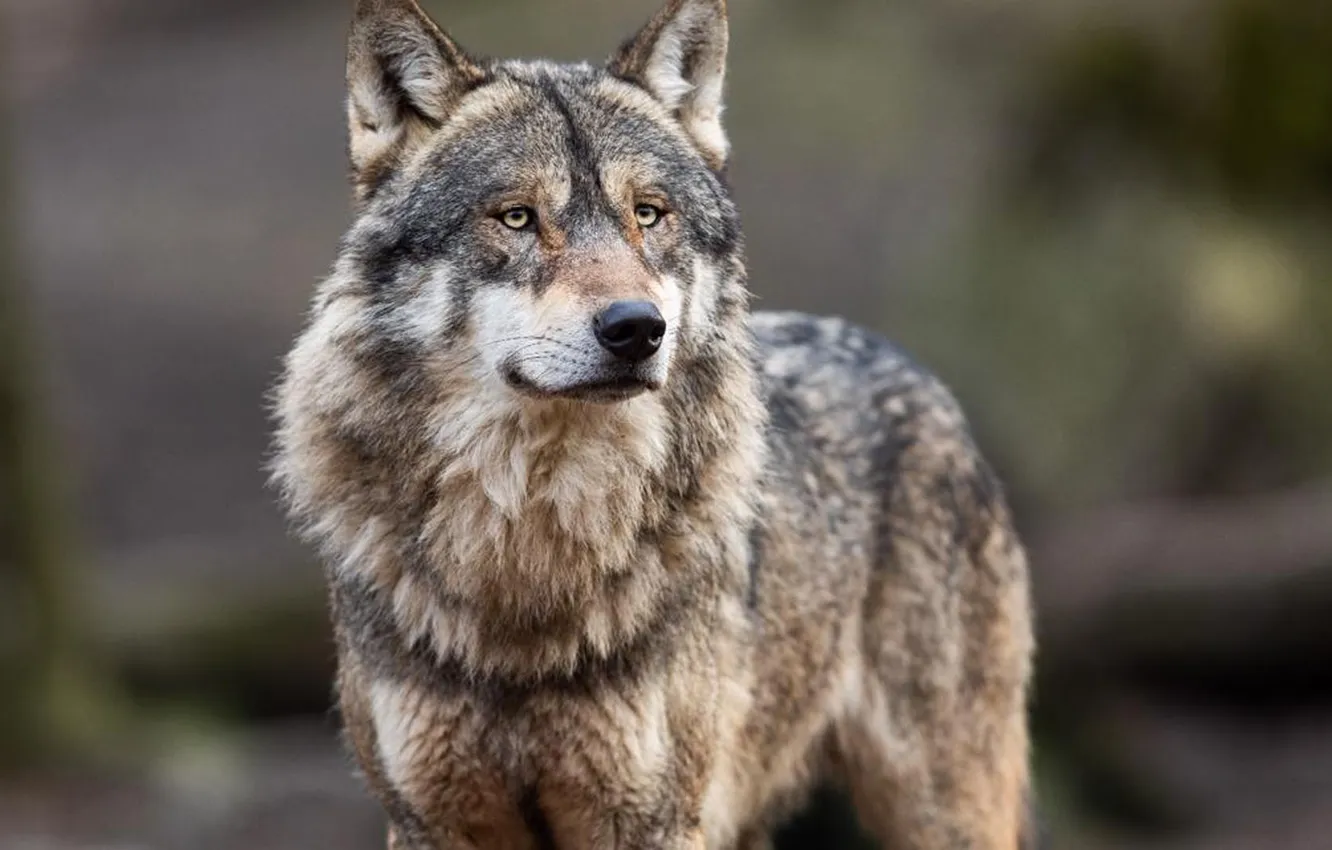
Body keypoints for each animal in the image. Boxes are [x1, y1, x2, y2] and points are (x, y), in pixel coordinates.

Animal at [270, 1, 1036, 848]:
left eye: (648, 215)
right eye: (516, 218)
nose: (636, 328)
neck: (530, 554)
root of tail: (906, 363)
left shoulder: (652, 817)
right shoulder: (430, 821)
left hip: (936, 805)